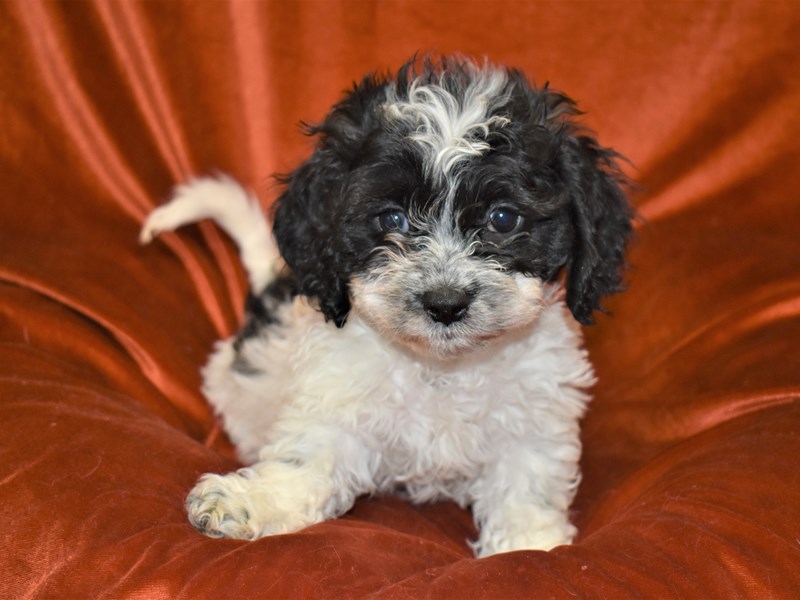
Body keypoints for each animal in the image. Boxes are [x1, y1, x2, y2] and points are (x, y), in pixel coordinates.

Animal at [142, 56, 632, 556]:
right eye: (392, 219)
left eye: (503, 219)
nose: (445, 303)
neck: (443, 368)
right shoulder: (336, 400)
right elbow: (305, 460)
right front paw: (252, 501)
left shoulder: (534, 418)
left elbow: (526, 486)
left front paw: (528, 545)